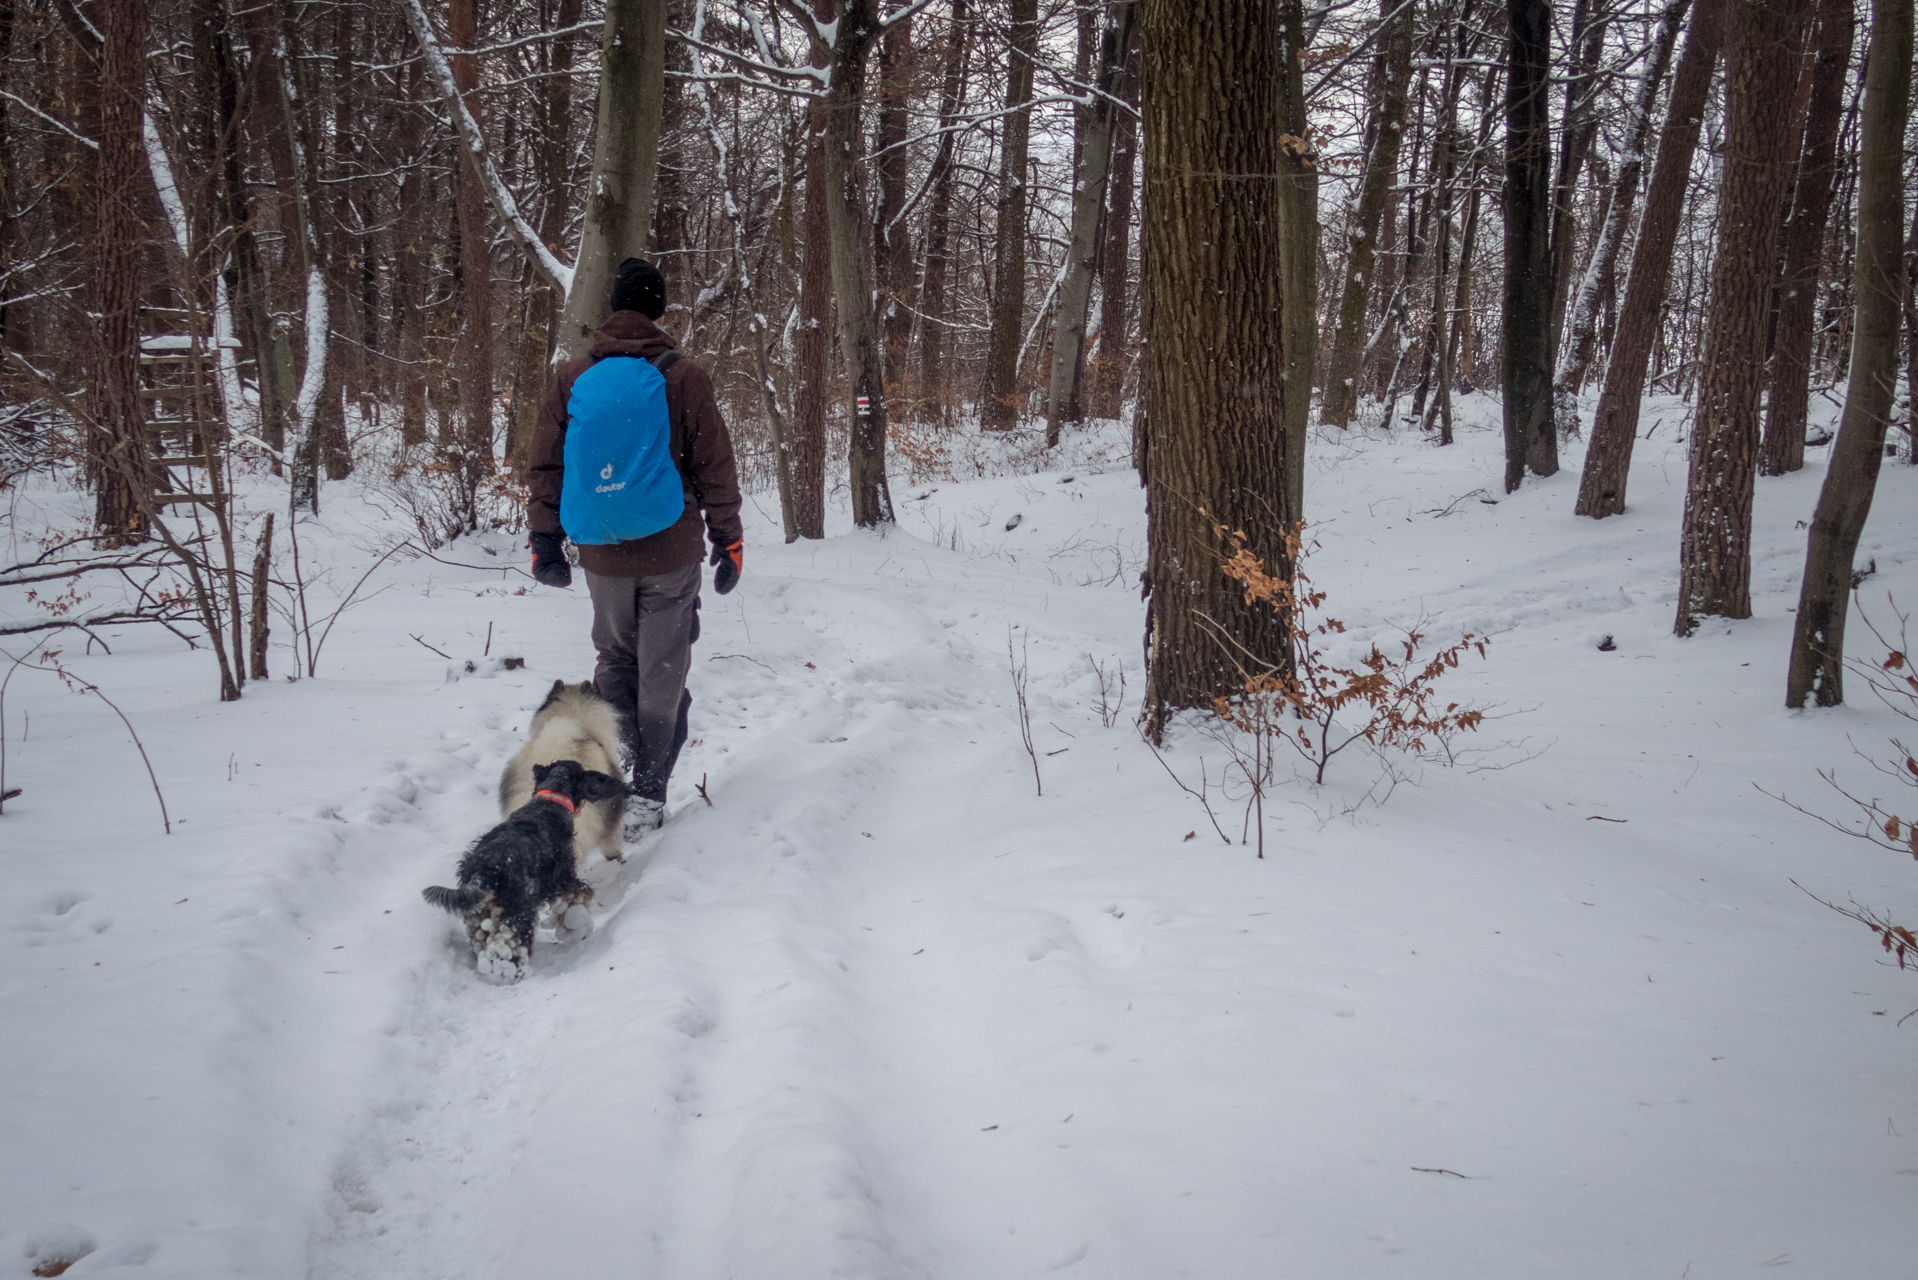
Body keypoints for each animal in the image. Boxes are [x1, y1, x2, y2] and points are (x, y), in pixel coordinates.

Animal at [423, 759, 625, 982]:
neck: (551, 799)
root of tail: (486, 867)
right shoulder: (563, 879)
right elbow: (580, 894)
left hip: (479, 913)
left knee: (482, 941)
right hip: (519, 912)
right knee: (509, 948)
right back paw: (515, 973)